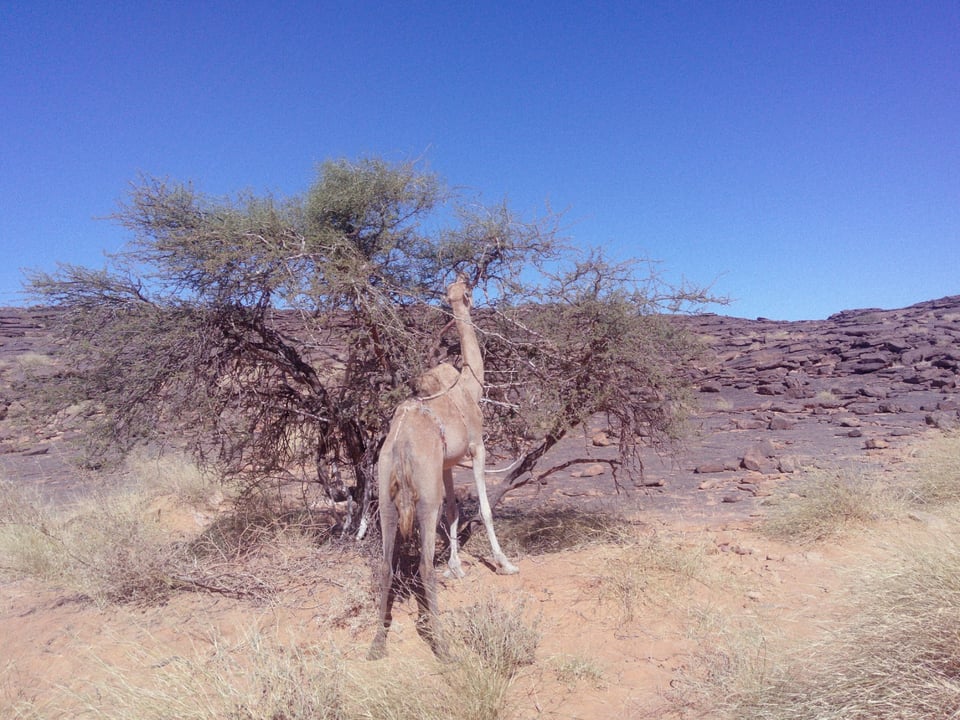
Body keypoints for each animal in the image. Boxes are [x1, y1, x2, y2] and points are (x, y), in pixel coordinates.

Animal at [368, 273, 519, 660]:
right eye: (467, 292)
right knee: (422, 565)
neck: (469, 384)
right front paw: (504, 563)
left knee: (386, 563)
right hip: (424, 495)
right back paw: (444, 645)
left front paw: (456, 567)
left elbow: (454, 511)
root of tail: (400, 446)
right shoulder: (477, 448)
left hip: (385, 493)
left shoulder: (448, 463)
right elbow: (484, 509)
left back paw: (377, 645)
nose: (468, 287)